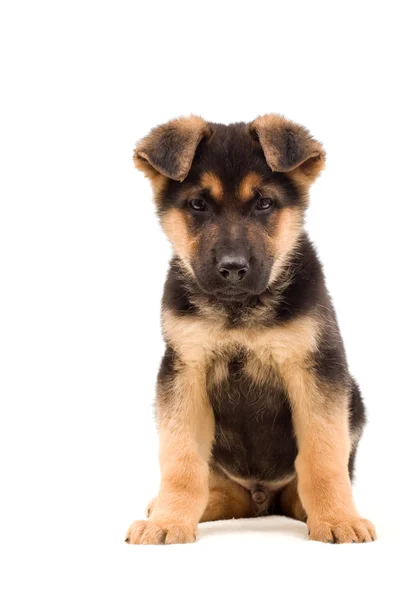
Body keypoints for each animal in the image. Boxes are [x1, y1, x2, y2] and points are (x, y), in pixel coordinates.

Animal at [125, 115, 376, 548]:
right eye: (198, 205)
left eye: (264, 203)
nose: (232, 268)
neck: (238, 311)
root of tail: (262, 499)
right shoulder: (184, 370)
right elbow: (180, 460)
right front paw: (169, 521)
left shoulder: (316, 369)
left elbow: (323, 454)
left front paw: (337, 518)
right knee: (221, 492)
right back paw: (171, 508)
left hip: (353, 400)